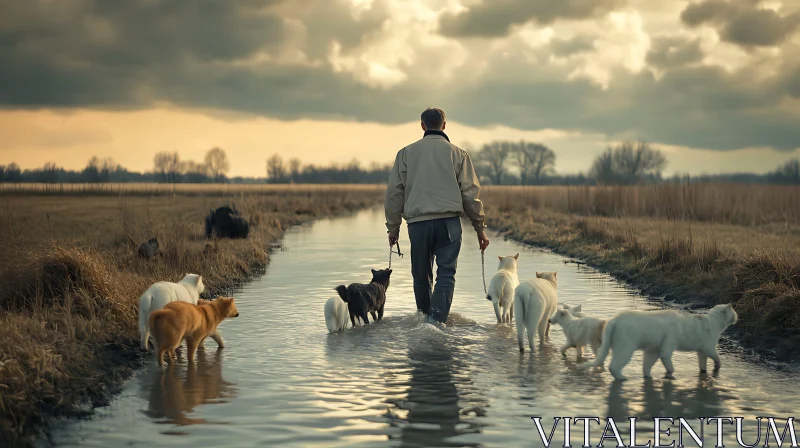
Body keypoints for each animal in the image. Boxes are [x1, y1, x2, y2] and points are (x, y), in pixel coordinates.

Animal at [580, 302, 740, 380]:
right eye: (734, 311)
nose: (737, 316)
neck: (713, 322)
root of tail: (614, 320)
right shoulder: (705, 345)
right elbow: (715, 356)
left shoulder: (655, 347)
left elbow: (648, 362)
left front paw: (648, 376)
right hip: (626, 345)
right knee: (614, 365)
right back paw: (622, 377)